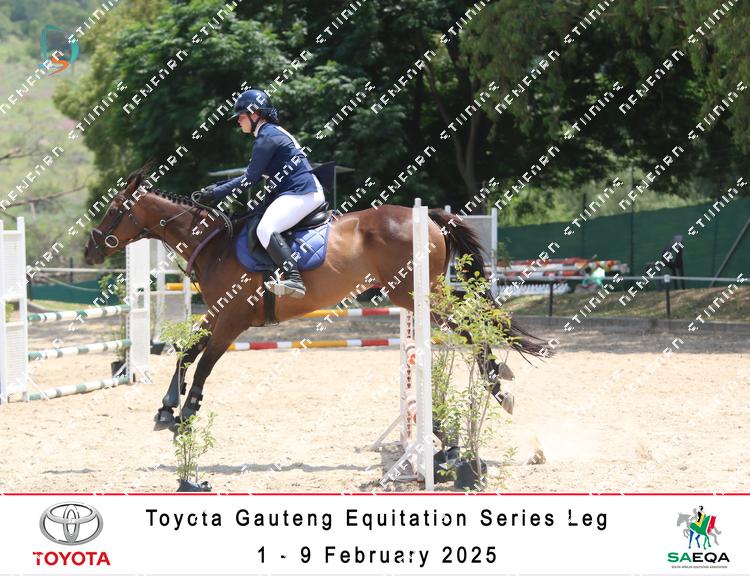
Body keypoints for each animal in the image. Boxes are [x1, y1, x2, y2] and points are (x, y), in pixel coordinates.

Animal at [84, 170, 548, 430]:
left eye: (112, 210)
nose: (90, 249)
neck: (214, 245)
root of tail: (427, 217)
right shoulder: (216, 313)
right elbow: (186, 351)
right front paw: (167, 407)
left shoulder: (232, 320)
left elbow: (205, 362)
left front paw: (187, 412)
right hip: (421, 291)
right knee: (473, 313)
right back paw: (499, 379)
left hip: (414, 292)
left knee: (471, 322)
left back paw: (498, 386)